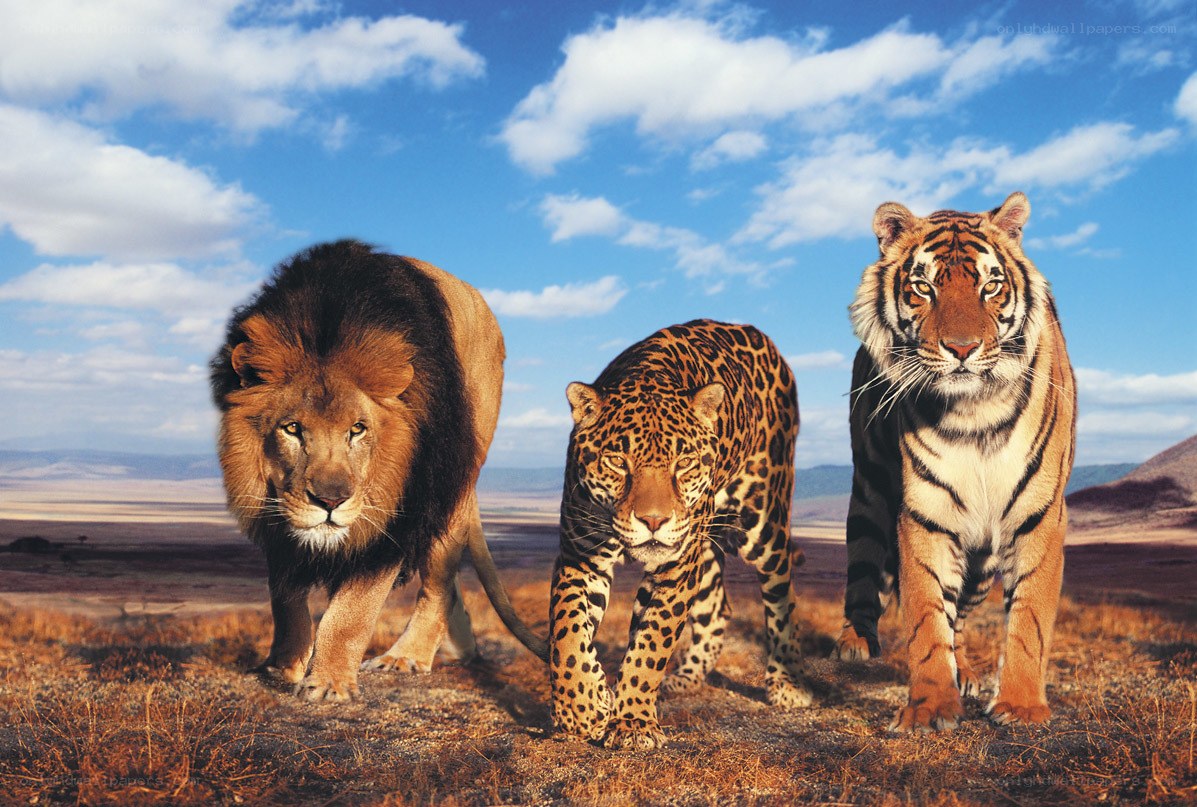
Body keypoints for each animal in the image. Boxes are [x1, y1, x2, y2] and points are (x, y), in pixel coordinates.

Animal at [210, 239, 547, 702]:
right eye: (292, 428)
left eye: (357, 429)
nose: (330, 501)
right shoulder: (278, 512)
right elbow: (285, 600)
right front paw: (284, 666)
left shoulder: (397, 512)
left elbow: (352, 612)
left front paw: (329, 683)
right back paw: (460, 648)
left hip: (457, 478)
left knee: (438, 583)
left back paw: (406, 656)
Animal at [549, 318, 812, 750]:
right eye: (617, 461)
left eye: (684, 462)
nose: (654, 521)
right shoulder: (580, 557)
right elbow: (568, 630)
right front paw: (583, 707)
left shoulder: (675, 568)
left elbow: (652, 643)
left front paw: (632, 723)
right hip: (703, 546)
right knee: (717, 606)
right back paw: (685, 678)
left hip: (762, 523)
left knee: (781, 595)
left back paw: (787, 684)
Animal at [834, 192, 1077, 732]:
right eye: (924, 287)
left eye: (991, 286)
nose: (962, 349)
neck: (975, 413)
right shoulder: (925, 512)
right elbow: (926, 616)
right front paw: (929, 709)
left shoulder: (1039, 514)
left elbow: (1029, 617)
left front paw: (1021, 706)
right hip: (868, 492)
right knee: (864, 568)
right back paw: (854, 644)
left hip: (982, 558)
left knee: (961, 614)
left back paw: (963, 670)